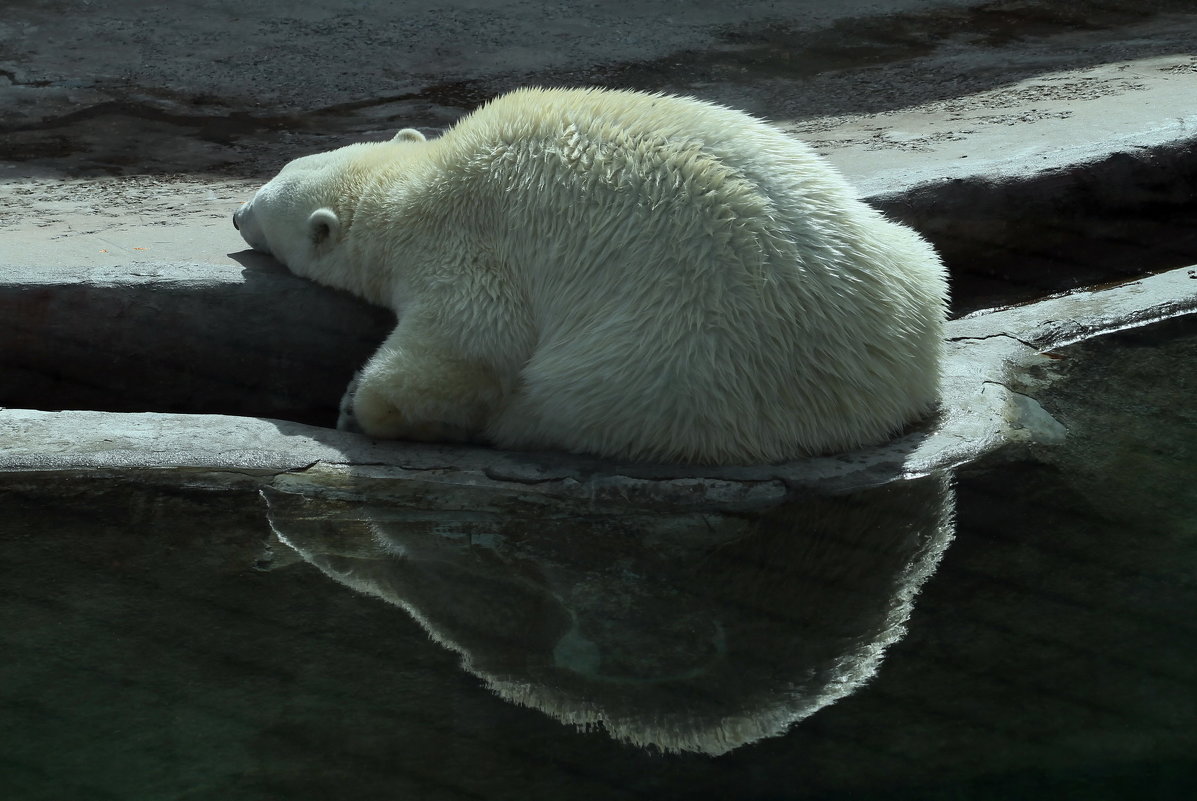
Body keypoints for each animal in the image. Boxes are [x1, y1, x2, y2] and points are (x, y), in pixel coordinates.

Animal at [231, 86, 943, 462]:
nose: (236, 214)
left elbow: (468, 346)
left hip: (678, 360)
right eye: (269, 179)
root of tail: (886, 390)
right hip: (903, 256)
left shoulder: (468, 246)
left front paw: (358, 405)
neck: (419, 185)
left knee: (561, 398)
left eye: (263, 203)